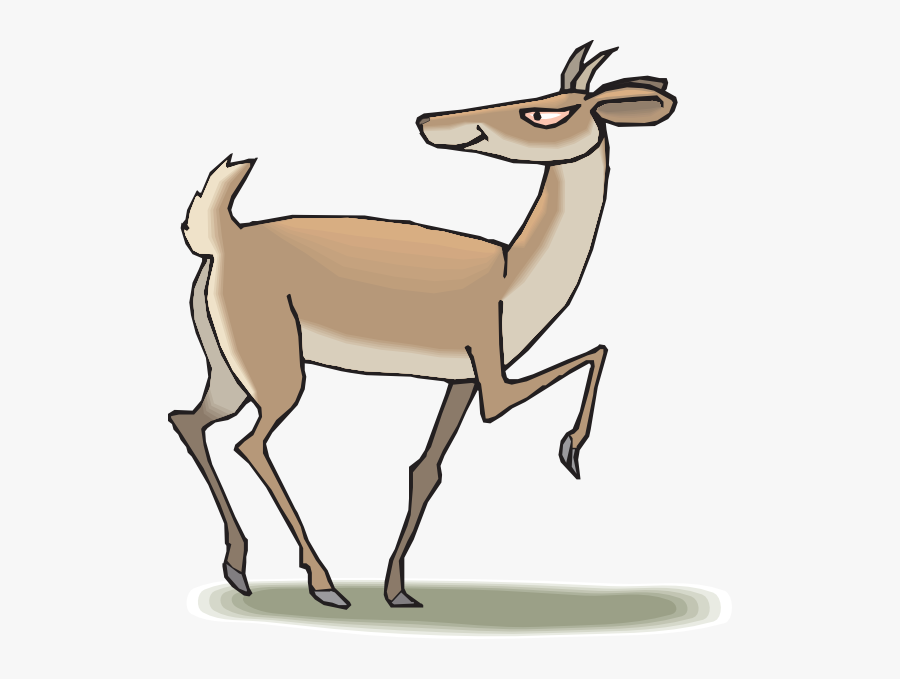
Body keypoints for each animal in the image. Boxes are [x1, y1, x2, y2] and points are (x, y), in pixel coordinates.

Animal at [169, 42, 677, 610]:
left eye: (545, 111)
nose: (430, 120)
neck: (512, 277)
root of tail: (221, 235)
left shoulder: (462, 380)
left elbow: (425, 469)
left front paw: (398, 591)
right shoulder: (494, 381)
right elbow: (595, 351)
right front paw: (570, 451)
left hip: (230, 371)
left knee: (188, 420)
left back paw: (239, 568)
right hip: (279, 373)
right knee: (249, 443)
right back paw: (324, 584)